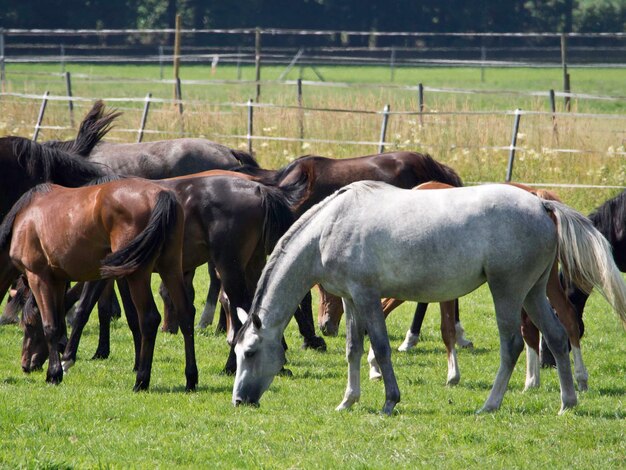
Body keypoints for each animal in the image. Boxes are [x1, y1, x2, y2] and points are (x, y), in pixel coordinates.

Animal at [0, 178, 196, 392]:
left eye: (27, 325)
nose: (26, 365)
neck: (25, 219)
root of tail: (163, 194)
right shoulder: (58, 280)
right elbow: (60, 323)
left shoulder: (39, 277)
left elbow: (51, 325)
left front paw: (54, 374)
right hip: (170, 268)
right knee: (186, 315)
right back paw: (191, 379)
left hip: (138, 274)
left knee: (149, 319)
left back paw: (141, 381)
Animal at [230, 182, 624, 414]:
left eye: (249, 353)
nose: (238, 400)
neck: (331, 226)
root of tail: (542, 205)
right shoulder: (353, 300)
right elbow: (353, 348)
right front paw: (348, 400)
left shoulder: (368, 297)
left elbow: (381, 346)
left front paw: (389, 401)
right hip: (534, 292)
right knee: (557, 337)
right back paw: (568, 402)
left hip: (507, 291)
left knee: (512, 344)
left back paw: (490, 405)